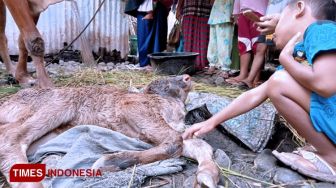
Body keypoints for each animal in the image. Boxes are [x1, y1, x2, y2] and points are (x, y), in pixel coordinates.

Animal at [0, 75, 219, 188]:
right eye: (163, 82)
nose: (187, 77)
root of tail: (7, 104)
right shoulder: (133, 107)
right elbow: (175, 143)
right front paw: (110, 161)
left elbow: (200, 146)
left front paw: (207, 176)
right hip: (59, 103)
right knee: (11, 137)